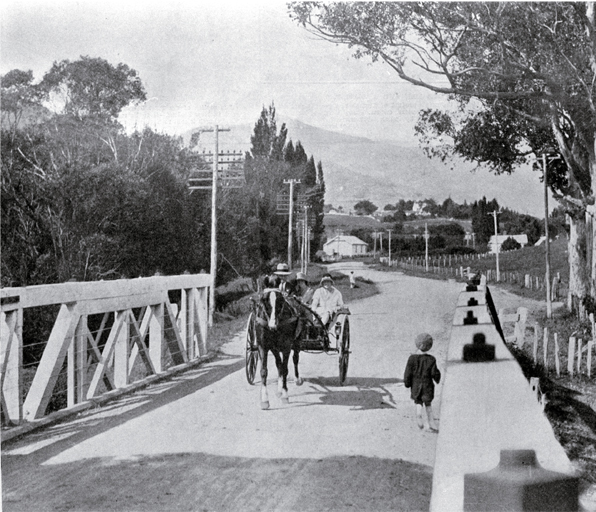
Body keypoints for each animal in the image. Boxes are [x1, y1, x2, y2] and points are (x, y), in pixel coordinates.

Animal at [253, 282, 300, 410]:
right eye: (265, 301)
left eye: (280, 302)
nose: (272, 325)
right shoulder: (263, 346)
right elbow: (264, 371)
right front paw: (264, 400)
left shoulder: (286, 346)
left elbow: (285, 369)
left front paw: (285, 395)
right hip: (274, 348)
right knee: (278, 364)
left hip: (297, 342)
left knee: (295, 359)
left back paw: (297, 379)